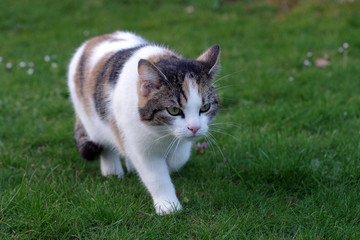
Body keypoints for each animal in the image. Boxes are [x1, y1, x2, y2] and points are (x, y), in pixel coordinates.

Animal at [67, 31, 219, 214]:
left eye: (205, 107)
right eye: (173, 110)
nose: (195, 128)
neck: (162, 131)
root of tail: (96, 39)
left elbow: (179, 157)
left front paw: (171, 163)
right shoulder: (141, 147)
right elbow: (156, 176)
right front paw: (168, 206)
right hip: (92, 118)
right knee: (105, 142)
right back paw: (112, 170)